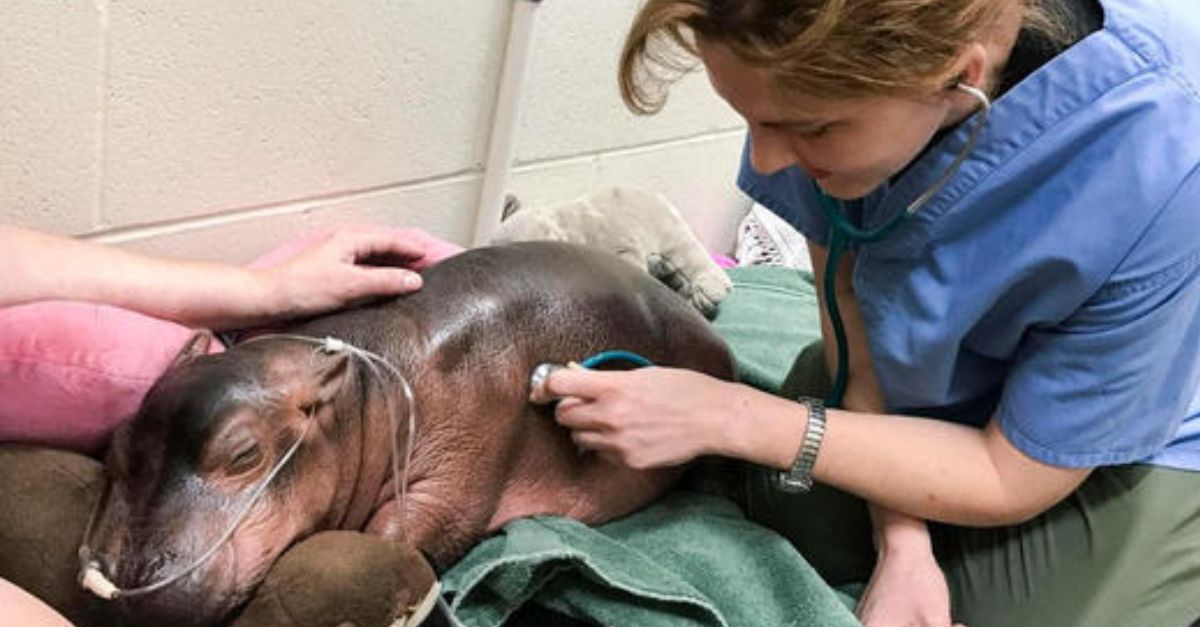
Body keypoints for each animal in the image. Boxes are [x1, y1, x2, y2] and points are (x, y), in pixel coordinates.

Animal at [82, 241, 729, 624]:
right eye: (115, 445)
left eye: (243, 453)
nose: (126, 580)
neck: (363, 390)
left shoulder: (458, 474)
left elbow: (399, 531)